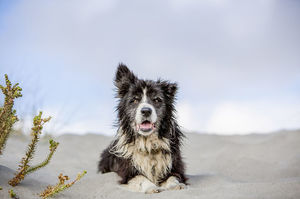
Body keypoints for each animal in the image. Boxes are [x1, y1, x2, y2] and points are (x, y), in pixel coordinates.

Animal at [98, 63, 188, 193]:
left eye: (157, 99)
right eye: (135, 100)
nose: (146, 111)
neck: (148, 144)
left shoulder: (175, 166)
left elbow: (173, 177)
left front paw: (176, 185)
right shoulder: (128, 172)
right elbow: (140, 178)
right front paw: (151, 187)